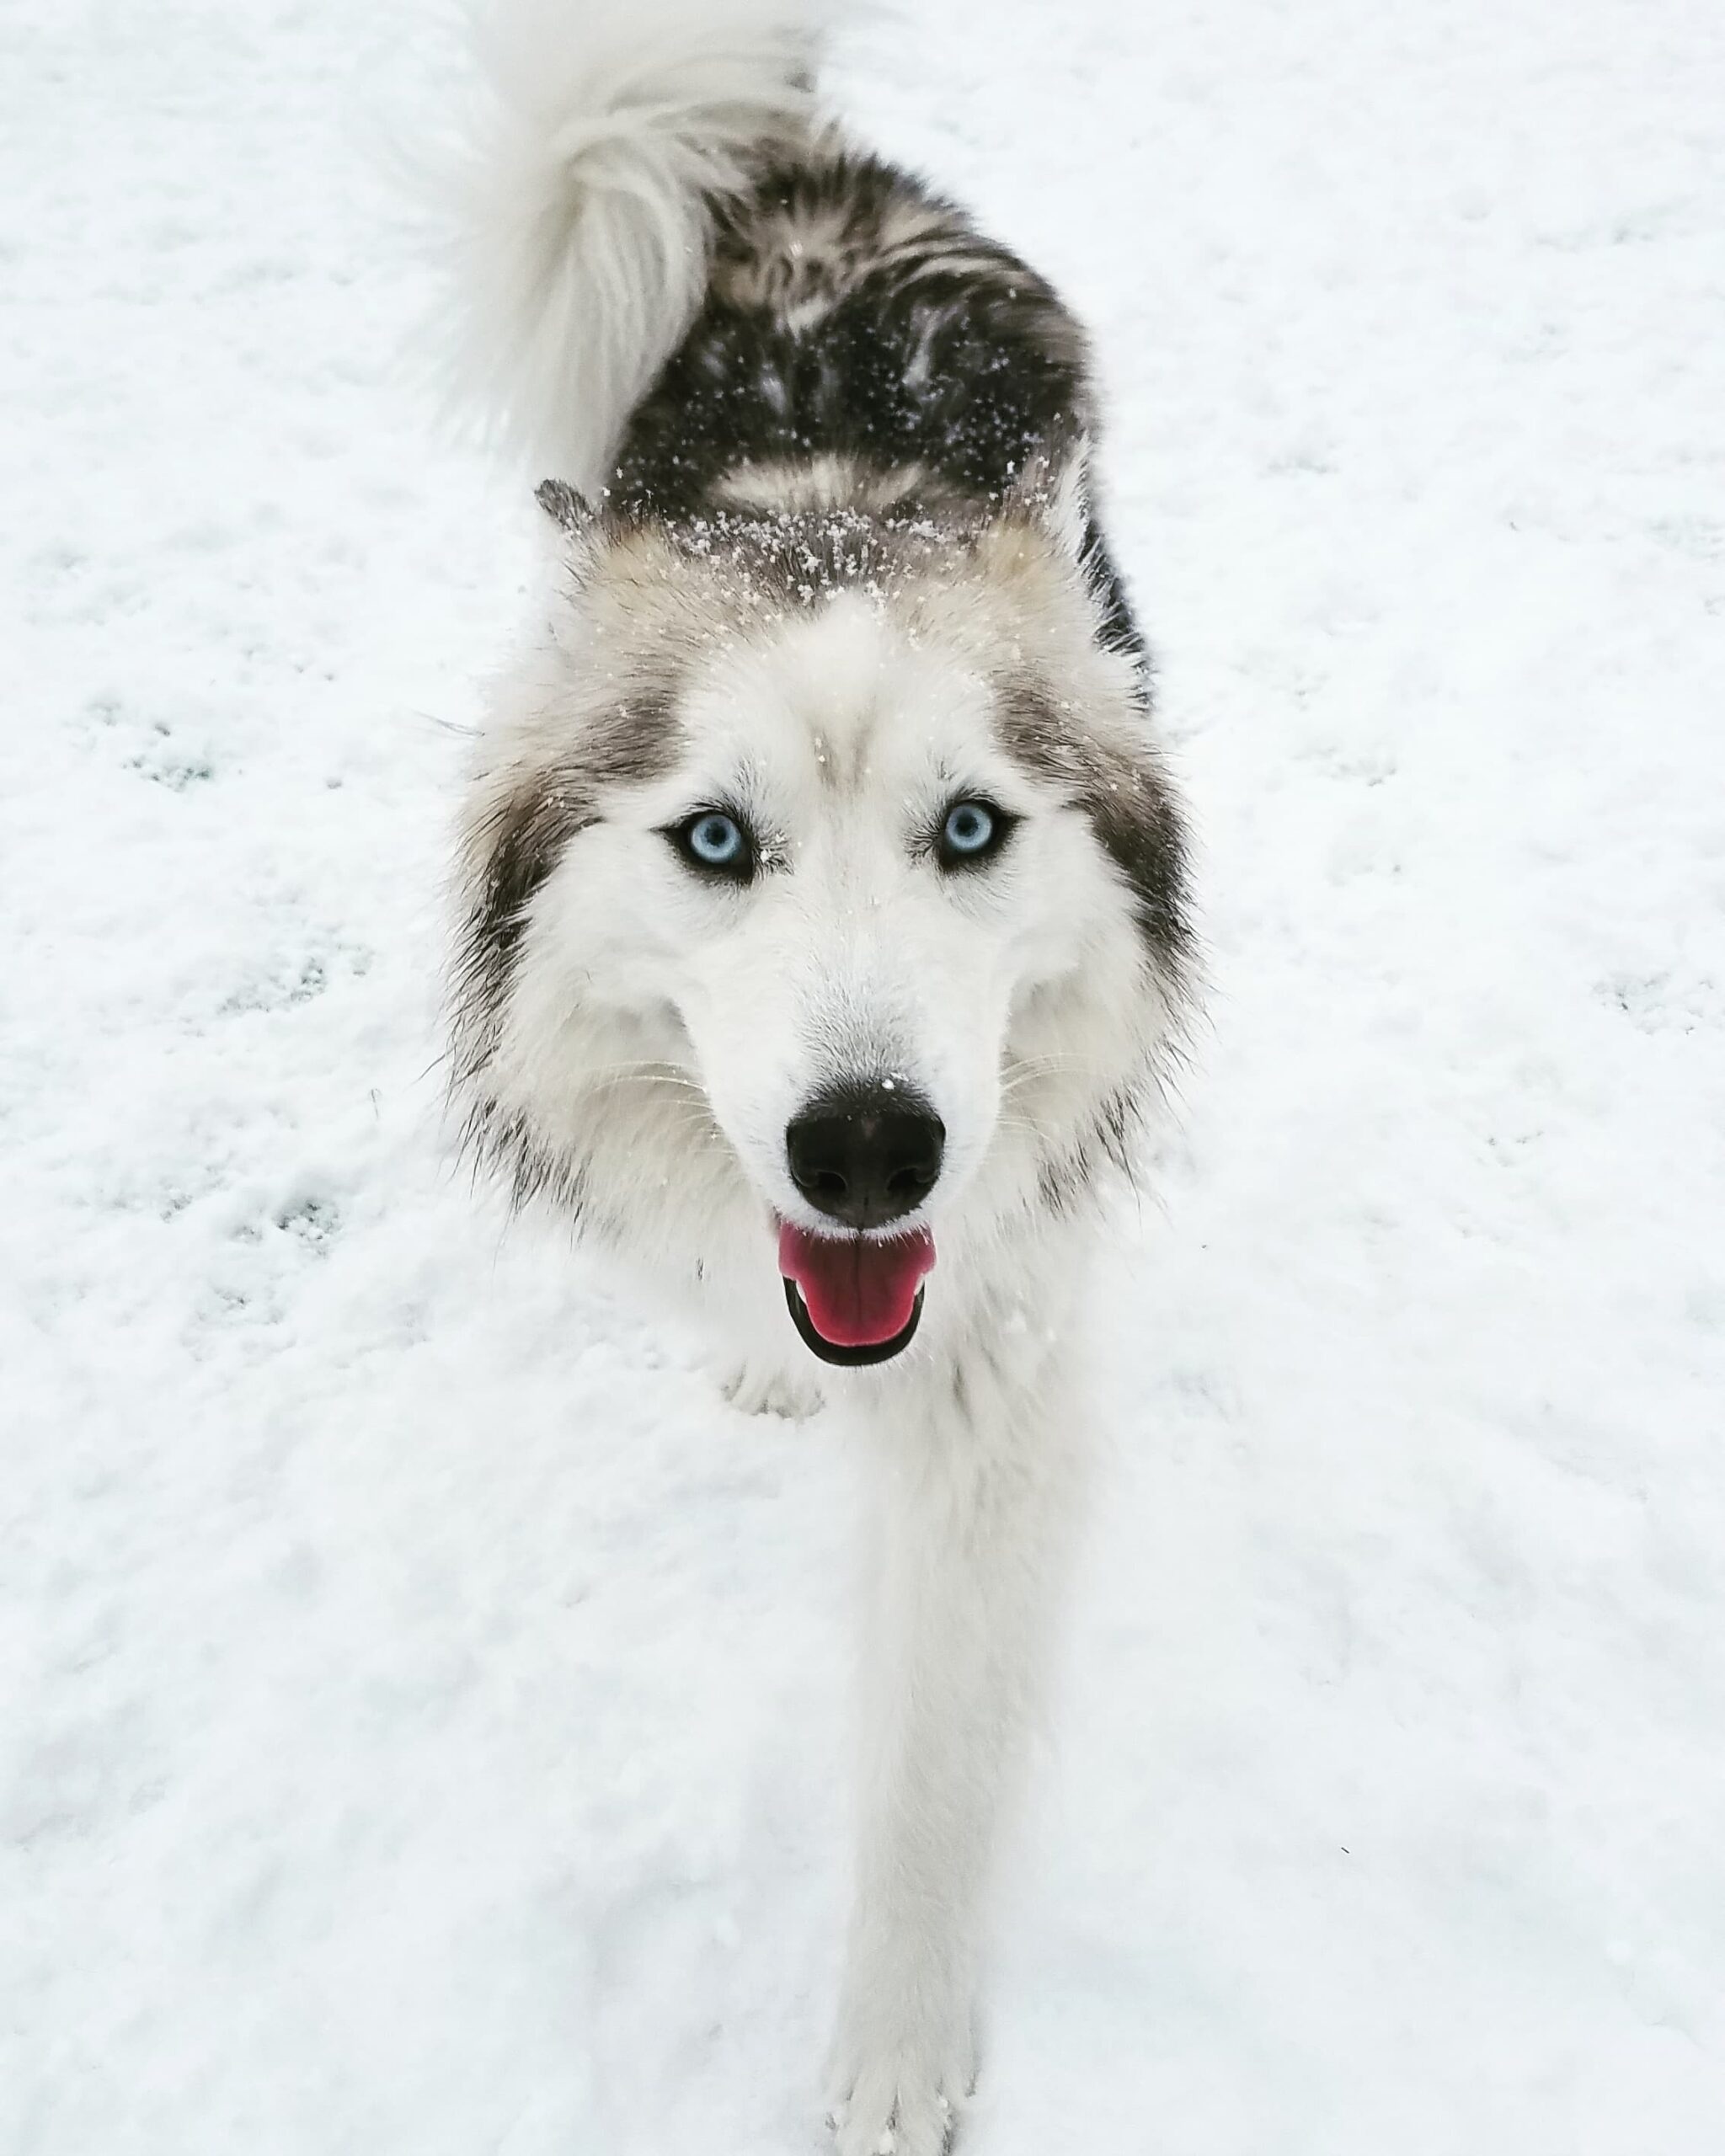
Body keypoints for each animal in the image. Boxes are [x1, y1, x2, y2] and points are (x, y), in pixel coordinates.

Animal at [437, 4, 1190, 2138]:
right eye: (712, 840)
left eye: (970, 829)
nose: (864, 1149)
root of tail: (794, 177)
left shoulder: (991, 1378)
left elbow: (931, 1768)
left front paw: (900, 2052)